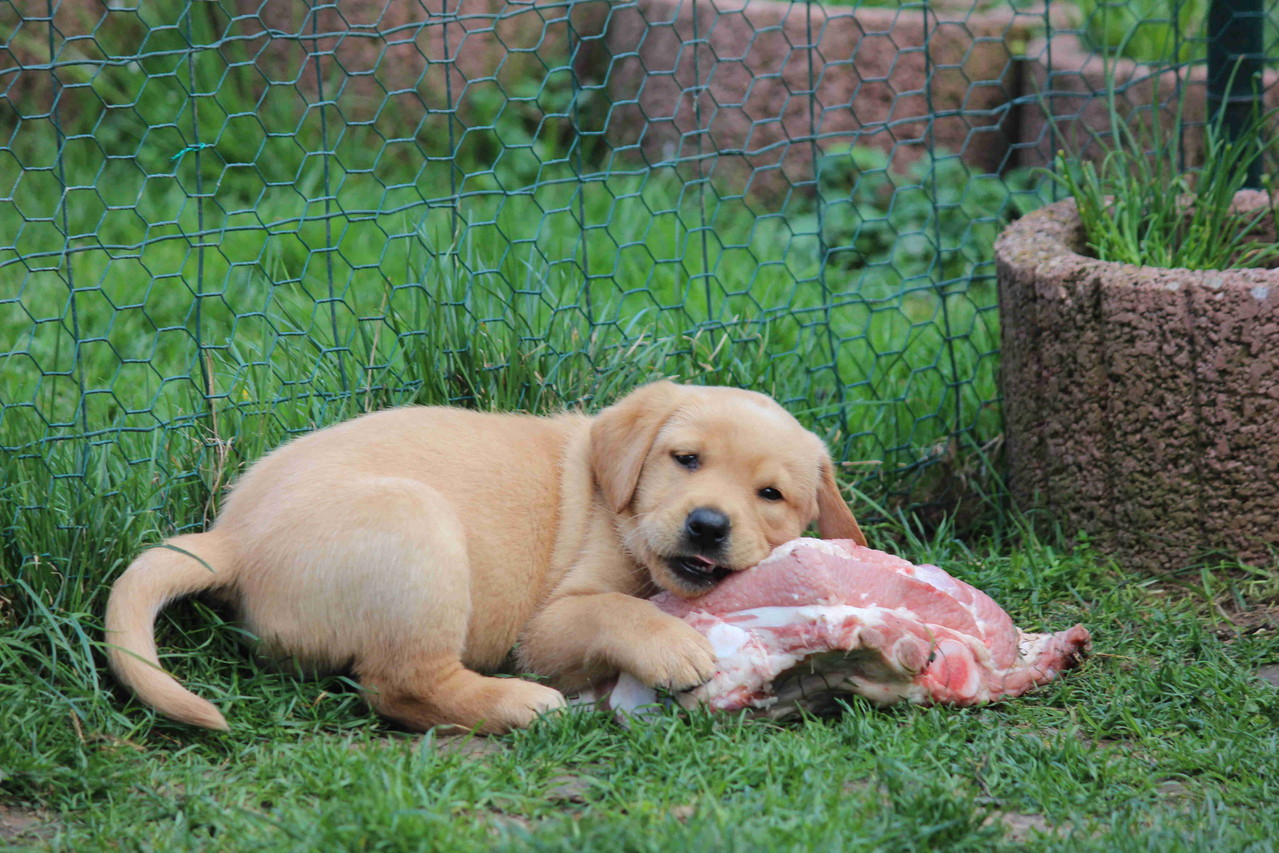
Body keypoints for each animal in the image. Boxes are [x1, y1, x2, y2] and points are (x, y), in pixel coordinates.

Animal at [104, 381, 864, 736]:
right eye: (686, 459)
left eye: (770, 494)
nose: (707, 526)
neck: (619, 510)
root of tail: (230, 537)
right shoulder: (546, 625)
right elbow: (615, 608)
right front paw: (673, 644)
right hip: (416, 527)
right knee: (401, 684)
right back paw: (519, 703)